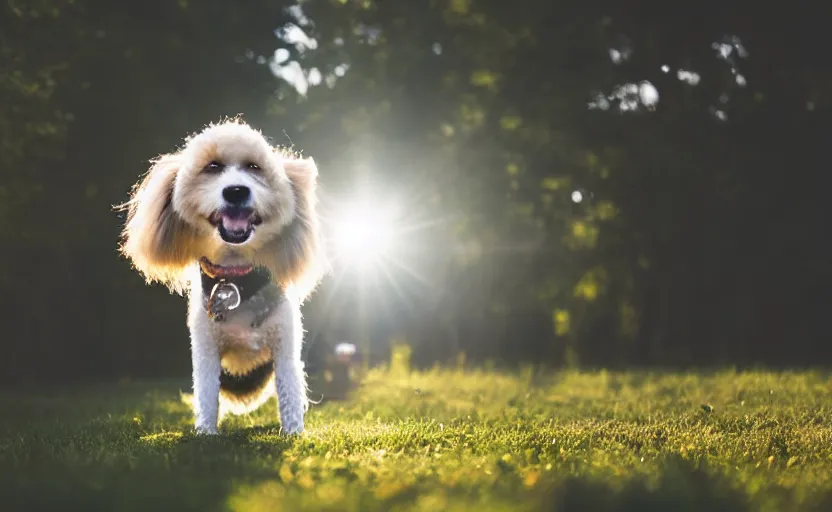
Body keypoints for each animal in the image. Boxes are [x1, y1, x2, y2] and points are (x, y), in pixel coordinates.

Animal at [118, 120, 324, 436]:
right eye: (212, 166)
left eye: (254, 167)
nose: (236, 191)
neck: (237, 280)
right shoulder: (205, 349)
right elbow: (206, 394)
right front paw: (206, 433)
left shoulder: (285, 346)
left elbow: (289, 391)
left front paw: (293, 433)